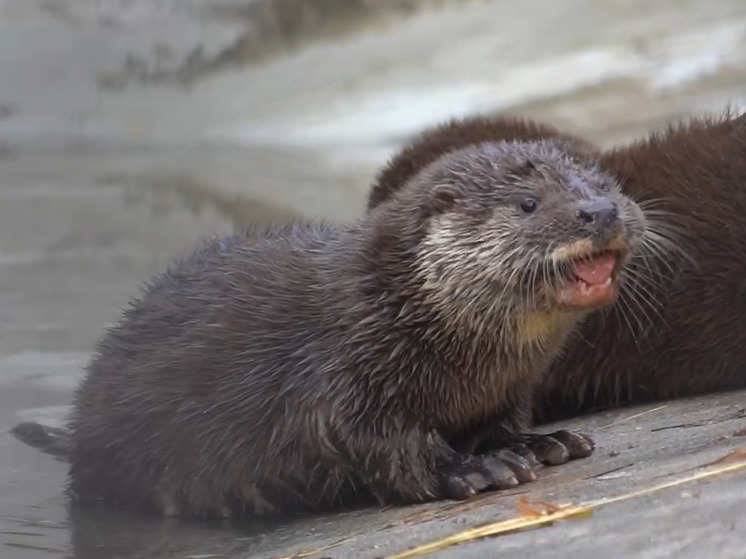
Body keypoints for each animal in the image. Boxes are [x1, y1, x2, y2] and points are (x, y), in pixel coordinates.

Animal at [50, 138, 644, 520]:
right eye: (528, 204)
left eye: (604, 184)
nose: (599, 211)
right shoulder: (337, 375)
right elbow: (373, 443)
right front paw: (476, 469)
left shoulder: (508, 388)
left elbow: (502, 421)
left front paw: (541, 441)